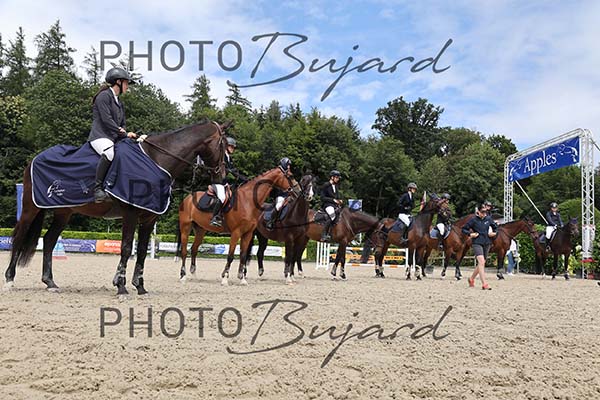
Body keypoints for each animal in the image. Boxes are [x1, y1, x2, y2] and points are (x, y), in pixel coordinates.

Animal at [4, 120, 228, 296]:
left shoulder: (149, 218)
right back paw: (9, 279)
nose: (222, 178)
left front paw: (140, 287)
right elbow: (127, 247)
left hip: (63, 212)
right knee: (19, 237)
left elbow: (141, 252)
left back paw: (50, 282)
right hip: (30, 208)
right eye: (224, 147)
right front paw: (121, 286)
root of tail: (34, 159)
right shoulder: (130, 213)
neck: (155, 160)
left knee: (49, 241)